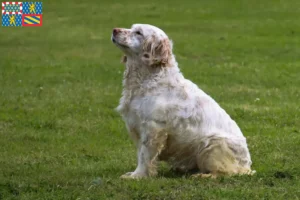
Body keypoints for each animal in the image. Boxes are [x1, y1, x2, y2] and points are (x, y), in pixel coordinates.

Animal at [111, 23, 254, 178]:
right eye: (132, 28)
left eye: (138, 32)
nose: (114, 30)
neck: (147, 79)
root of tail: (247, 165)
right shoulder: (136, 124)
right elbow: (140, 154)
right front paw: (134, 173)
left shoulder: (153, 127)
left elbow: (145, 155)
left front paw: (138, 175)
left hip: (211, 143)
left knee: (224, 172)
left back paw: (200, 175)